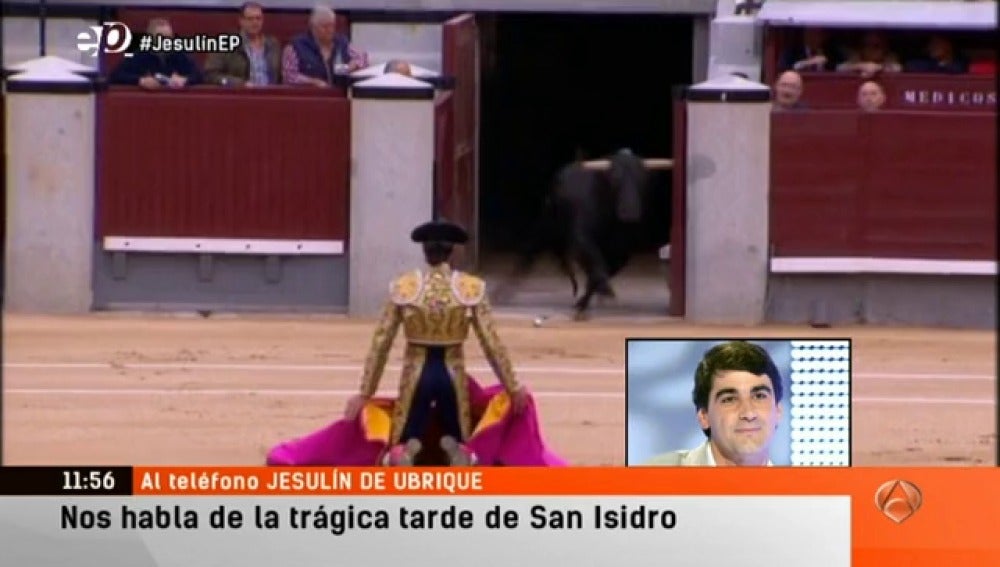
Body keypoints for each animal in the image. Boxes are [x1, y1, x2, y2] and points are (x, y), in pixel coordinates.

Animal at [496, 148, 672, 320]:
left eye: (643, 180)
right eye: (615, 178)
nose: (630, 213)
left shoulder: (622, 253)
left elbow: (598, 274)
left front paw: (584, 303)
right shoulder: (583, 238)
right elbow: (597, 265)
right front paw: (602, 292)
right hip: (546, 225)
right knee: (528, 254)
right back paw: (502, 293)